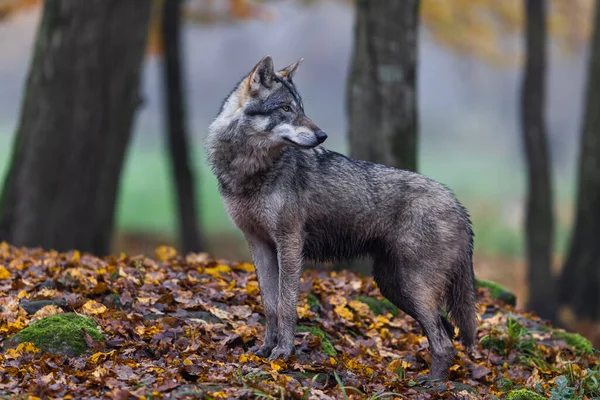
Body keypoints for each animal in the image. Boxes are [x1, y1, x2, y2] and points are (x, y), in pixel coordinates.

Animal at [206, 56, 478, 382]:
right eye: (286, 108)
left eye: (300, 108)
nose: (322, 135)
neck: (250, 170)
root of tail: (459, 206)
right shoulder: (258, 244)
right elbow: (270, 305)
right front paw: (264, 350)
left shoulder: (289, 243)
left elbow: (286, 305)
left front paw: (283, 353)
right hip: (393, 286)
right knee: (446, 331)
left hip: (411, 287)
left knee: (443, 340)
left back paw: (432, 383)